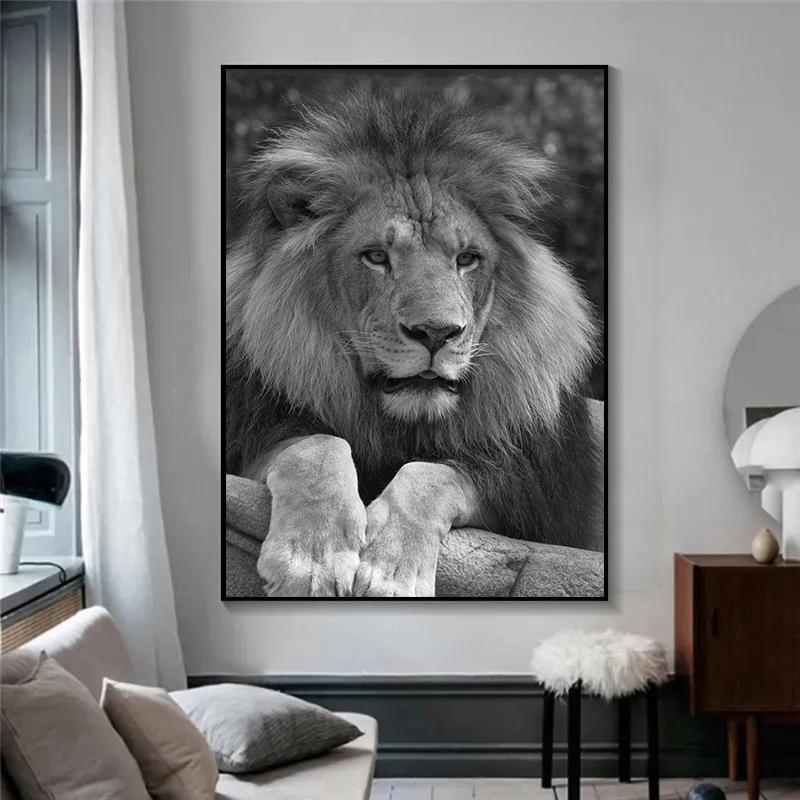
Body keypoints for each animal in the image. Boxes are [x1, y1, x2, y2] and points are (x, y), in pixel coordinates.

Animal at [226, 85, 602, 597]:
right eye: (375, 257)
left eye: (467, 258)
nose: (437, 333)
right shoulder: (253, 431)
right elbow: (316, 445)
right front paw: (311, 559)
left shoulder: (537, 496)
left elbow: (433, 473)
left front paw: (391, 571)